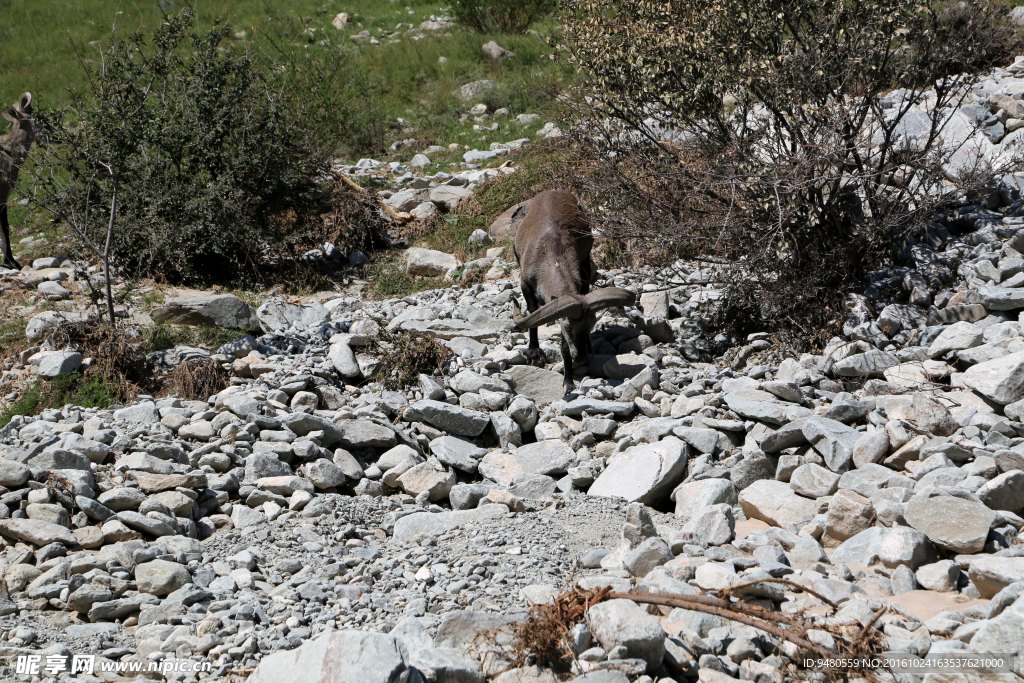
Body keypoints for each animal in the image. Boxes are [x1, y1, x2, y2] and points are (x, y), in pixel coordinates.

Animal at [509, 189, 630, 393]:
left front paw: (569, 382)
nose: (580, 356)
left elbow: (565, 347)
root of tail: (554, 191)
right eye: (567, 327)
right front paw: (533, 354)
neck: (550, 257)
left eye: (591, 325)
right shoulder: (526, 283)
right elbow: (533, 313)